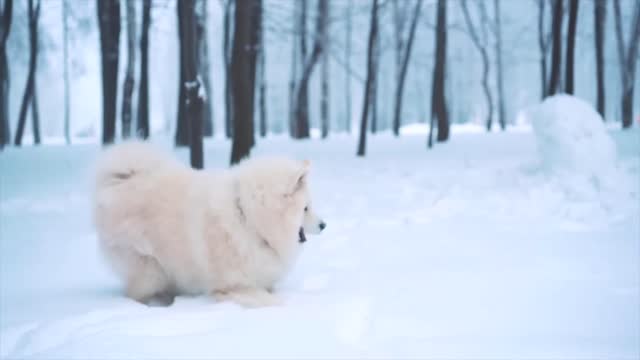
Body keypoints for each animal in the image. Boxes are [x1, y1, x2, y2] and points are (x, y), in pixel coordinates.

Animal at [91, 142, 324, 308]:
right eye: (306, 208)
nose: (324, 225)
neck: (248, 218)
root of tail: (122, 179)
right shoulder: (232, 286)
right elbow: (269, 300)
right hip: (150, 269)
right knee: (136, 293)